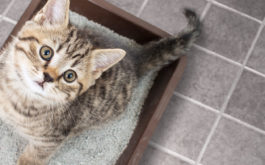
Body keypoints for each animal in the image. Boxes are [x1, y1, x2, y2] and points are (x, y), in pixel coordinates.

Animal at [0, 0, 200, 165]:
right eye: (46, 52)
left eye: (70, 76)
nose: (47, 77)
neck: (18, 94)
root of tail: (134, 59)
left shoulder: (50, 141)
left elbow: (32, 158)